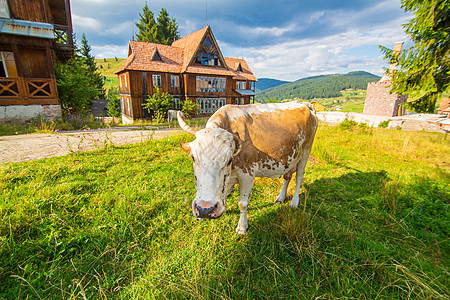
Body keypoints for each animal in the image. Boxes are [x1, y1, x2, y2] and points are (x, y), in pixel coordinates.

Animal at [178, 101, 318, 234]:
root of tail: (306, 104)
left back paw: (294, 202)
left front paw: (242, 227)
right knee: (287, 177)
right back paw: (281, 197)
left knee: (299, 178)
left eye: (229, 160)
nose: (205, 209)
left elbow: (242, 203)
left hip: (306, 152)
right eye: (193, 157)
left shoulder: (247, 175)